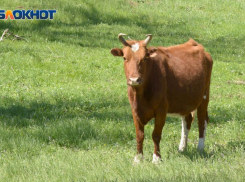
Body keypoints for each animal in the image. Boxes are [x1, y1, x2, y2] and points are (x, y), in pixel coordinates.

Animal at [110, 33, 212, 164]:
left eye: (144, 58)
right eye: (124, 58)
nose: (134, 80)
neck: (141, 95)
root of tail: (194, 44)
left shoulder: (161, 110)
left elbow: (156, 135)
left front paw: (156, 158)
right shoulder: (134, 110)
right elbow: (139, 135)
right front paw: (138, 158)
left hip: (204, 96)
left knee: (202, 120)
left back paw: (200, 147)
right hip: (185, 101)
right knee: (187, 120)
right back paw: (182, 148)